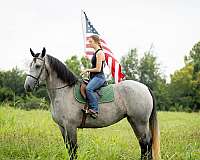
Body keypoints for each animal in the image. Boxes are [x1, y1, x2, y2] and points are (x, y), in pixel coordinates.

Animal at [23, 47, 161, 160]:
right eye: (30, 65)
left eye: (38, 66)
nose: (27, 86)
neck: (64, 91)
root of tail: (145, 87)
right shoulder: (62, 127)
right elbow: (69, 149)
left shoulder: (70, 127)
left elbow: (73, 150)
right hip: (134, 121)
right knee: (144, 145)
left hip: (140, 122)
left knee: (145, 144)